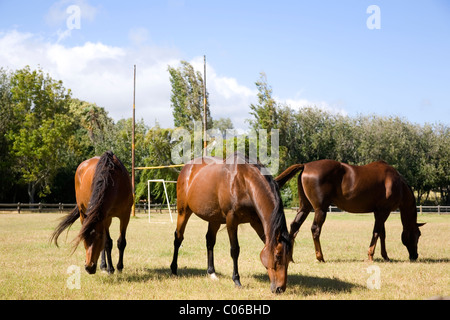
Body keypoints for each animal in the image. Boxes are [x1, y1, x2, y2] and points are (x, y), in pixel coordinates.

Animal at [171, 152, 294, 292]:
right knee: (178, 238)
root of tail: (187, 167)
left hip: (214, 218)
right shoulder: (232, 220)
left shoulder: (256, 222)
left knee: (210, 241)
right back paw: (174, 269)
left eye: (289, 257)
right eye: (278, 256)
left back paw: (211, 273)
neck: (243, 181)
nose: (280, 288)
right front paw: (236, 280)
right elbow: (235, 250)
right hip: (183, 212)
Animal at [274, 160, 426, 262]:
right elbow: (377, 233)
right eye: (417, 235)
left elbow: (382, 234)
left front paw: (385, 256)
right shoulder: (384, 211)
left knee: (295, 226)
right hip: (320, 210)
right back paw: (320, 257)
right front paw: (371, 255)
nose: (415, 256)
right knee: (315, 229)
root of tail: (306, 165)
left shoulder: (379, 212)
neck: (397, 184)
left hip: (305, 207)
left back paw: (290, 258)